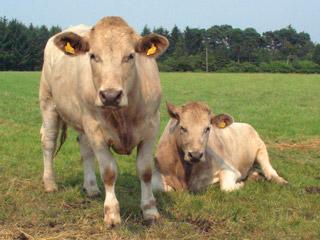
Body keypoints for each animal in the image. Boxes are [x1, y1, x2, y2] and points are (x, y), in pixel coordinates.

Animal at [38, 16, 169, 227]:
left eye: (130, 56)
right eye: (93, 56)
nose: (110, 95)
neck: (123, 116)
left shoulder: (151, 128)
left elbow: (145, 171)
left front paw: (150, 210)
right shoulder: (96, 130)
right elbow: (108, 172)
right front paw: (112, 213)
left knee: (85, 149)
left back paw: (91, 187)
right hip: (48, 102)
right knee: (48, 142)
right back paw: (50, 183)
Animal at [152, 101, 288, 193]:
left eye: (207, 128)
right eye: (182, 128)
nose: (195, 155)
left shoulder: (230, 168)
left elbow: (226, 187)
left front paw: (240, 184)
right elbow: (160, 188)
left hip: (261, 148)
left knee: (269, 170)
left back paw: (279, 180)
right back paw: (254, 176)